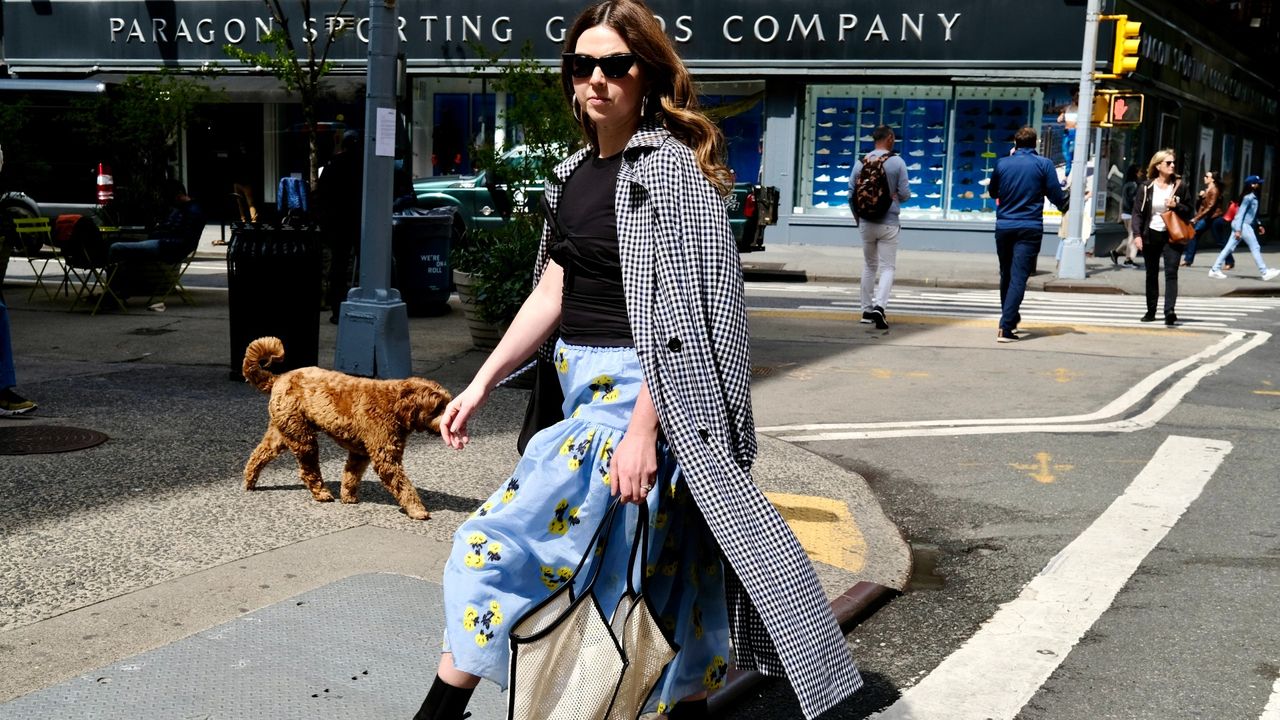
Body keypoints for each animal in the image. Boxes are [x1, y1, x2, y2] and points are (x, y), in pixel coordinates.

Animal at [241, 333, 453, 517]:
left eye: (447, 403)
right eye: (437, 407)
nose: (449, 419)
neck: (395, 405)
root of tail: (279, 378)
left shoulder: (360, 453)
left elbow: (351, 475)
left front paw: (348, 497)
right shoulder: (385, 456)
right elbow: (403, 485)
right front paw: (417, 510)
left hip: (282, 430)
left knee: (260, 454)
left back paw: (249, 481)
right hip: (301, 435)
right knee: (308, 469)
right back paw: (321, 493)